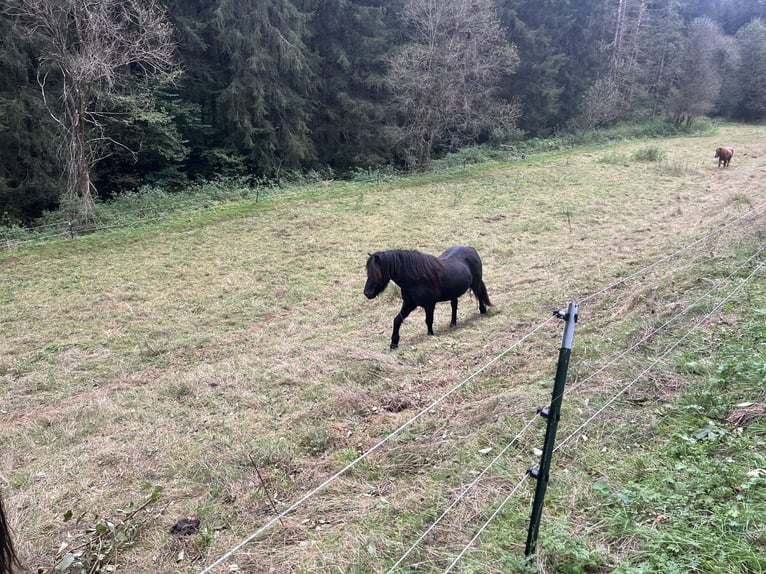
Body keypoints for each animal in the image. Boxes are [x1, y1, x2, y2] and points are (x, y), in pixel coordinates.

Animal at [364, 245, 492, 348]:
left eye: (377, 274)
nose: (367, 293)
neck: (416, 280)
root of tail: (470, 248)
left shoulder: (429, 305)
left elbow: (428, 320)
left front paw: (430, 335)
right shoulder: (409, 305)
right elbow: (397, 320)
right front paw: (394, 344)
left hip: (475, 283)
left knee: (479, 295)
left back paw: (483, 311)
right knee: (454, 305)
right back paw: (453, 324)